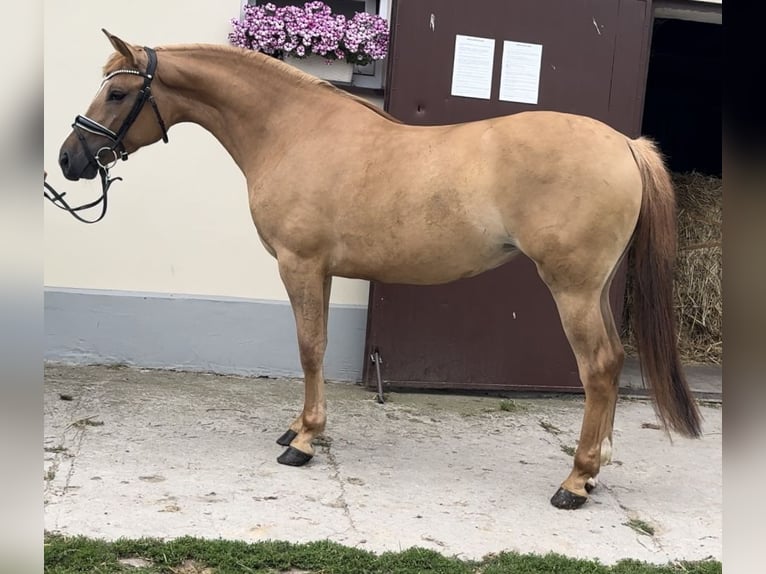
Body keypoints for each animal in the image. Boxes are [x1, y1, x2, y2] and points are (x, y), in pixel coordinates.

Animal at [55, 30, 704, 512]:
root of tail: (624, 144)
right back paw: (594, 471)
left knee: (598, 366)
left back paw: (574, 481)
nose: (69, 159)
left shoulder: (300, 264)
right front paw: (299, 426)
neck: (293, 130)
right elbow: (312, 348)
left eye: (118, 95)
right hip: (593, 287)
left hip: (571, 287)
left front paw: (305, 441)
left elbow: (309, 348)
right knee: (612, 362)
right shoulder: (320, 270)